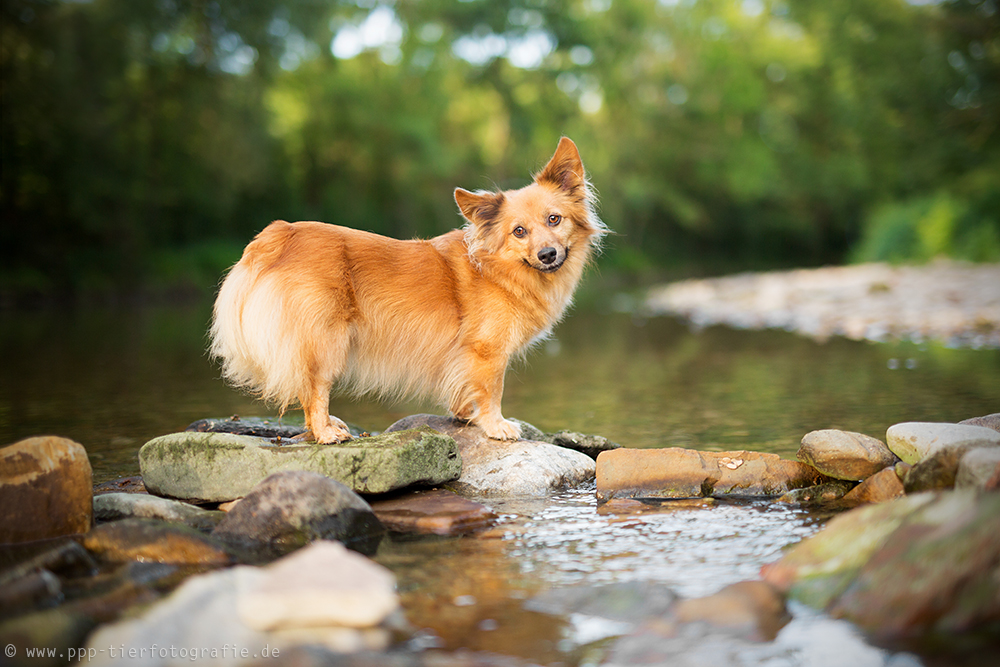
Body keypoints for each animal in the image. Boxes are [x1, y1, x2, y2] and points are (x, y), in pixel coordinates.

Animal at [207, 136, 604, 444]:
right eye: (519, 232)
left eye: (554, 219)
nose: (548, 254)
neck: (499, 269)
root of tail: (281, 232)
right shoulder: (487, 353)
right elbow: (492, 391)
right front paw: (495, 425)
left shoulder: (462, 357)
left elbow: (464, 390)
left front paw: (467, 416)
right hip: (325, 341)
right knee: (314, 389)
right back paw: (324, 431)